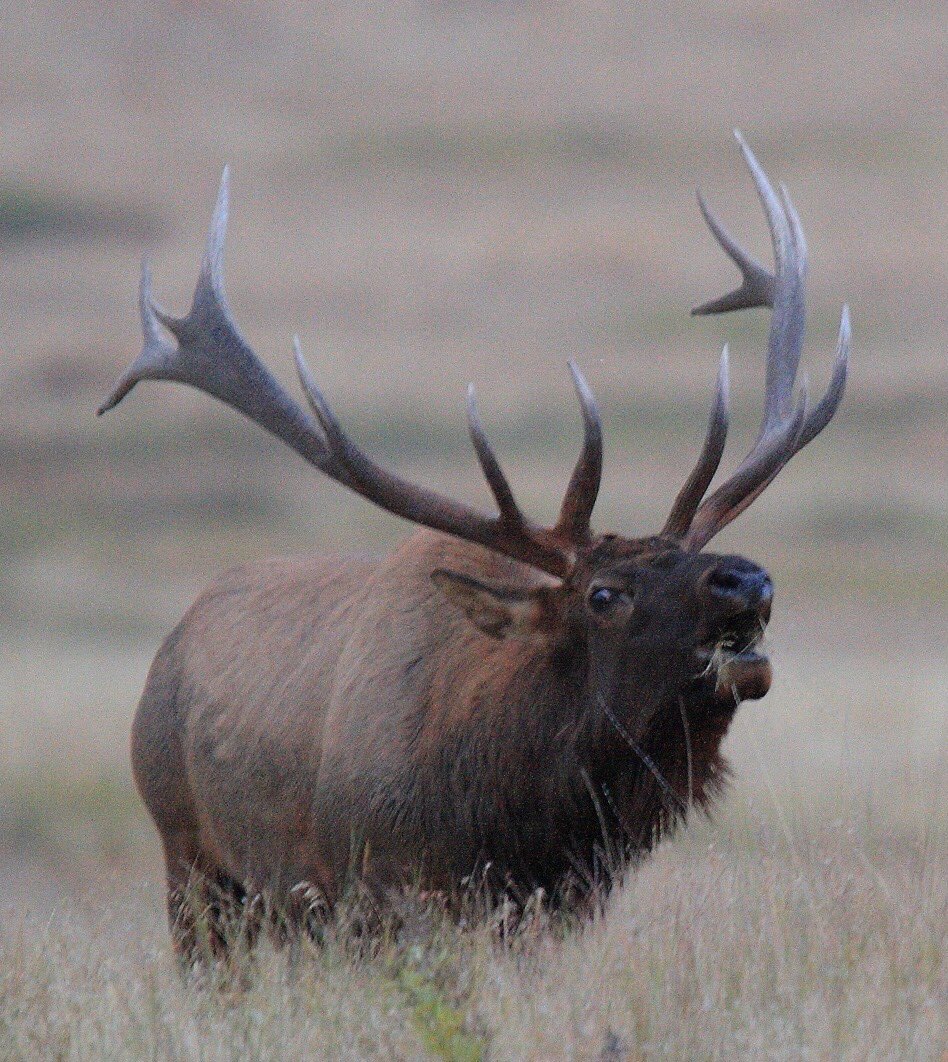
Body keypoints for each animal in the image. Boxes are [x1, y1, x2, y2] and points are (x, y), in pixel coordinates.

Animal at [99, 133, 849, 960]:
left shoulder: (555, 909)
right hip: (190, 861)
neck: (505, 820)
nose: (746, 581)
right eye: (603, 594)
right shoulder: (378, 894)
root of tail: (172, 644)